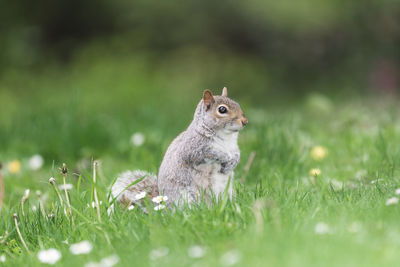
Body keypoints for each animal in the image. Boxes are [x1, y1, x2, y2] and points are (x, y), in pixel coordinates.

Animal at [110, 88, 247, 207]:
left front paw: (233, 162)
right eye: (222, 109)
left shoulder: (234, 147)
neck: (226, 137)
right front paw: (225, 157)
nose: (245, 121)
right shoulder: (193, 148)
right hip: (186, 196)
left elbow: (237, 154)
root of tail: (165, 205)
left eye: (237, 104)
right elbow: (211, 153)